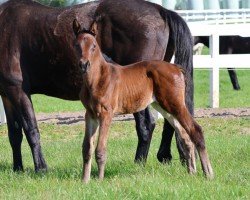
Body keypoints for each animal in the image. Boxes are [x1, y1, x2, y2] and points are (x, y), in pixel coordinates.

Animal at [73, 27, 213, 183]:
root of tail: (176, 68)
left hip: (176, 105)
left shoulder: (106, 114)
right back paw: (192, 172)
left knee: (196, 130)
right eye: (77, 45)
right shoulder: (90, 115)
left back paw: (208, 173)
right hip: (165, 108)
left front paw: (99, 180)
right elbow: (87, 148)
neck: (98, 79)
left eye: (94, 46)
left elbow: (100, 149)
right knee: (185, 136)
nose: (84, 65)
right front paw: (85, 181)